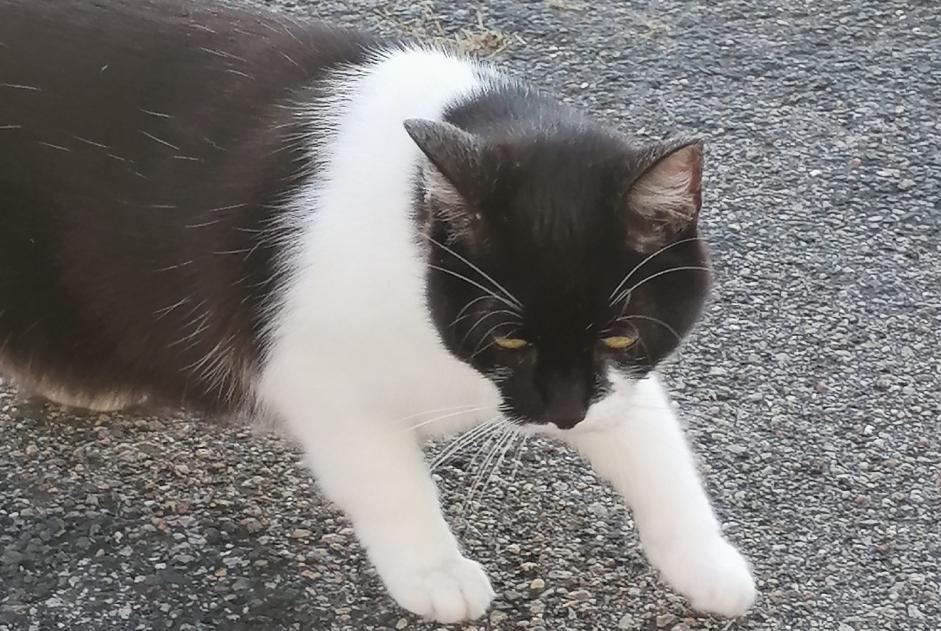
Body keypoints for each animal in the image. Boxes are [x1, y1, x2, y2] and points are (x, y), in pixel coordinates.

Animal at [0, 0, 752, 624]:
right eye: (508, 339)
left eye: (620, 334)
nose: (564, 413)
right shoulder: (313, 371)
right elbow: (392, 481)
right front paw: (435, 571)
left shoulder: (616, 385)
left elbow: (654, 447)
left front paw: (707, 561)